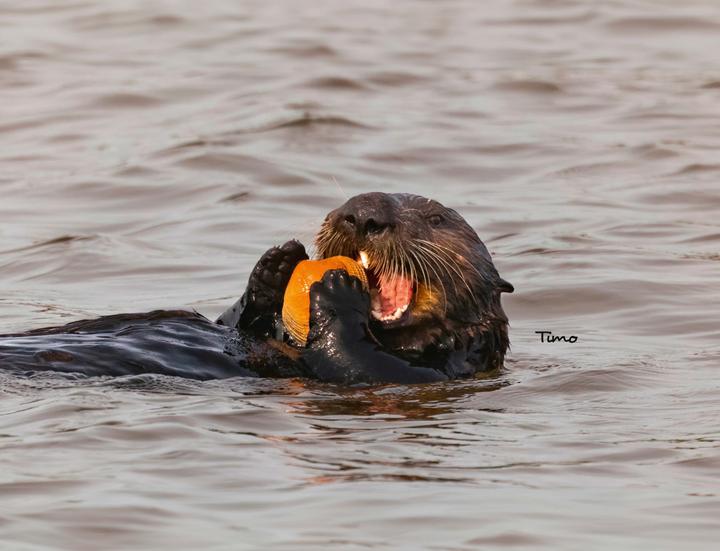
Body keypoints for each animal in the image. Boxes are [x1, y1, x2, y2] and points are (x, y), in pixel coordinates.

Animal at [0, 193, 513, 385]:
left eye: (436, 218)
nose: (363, 214)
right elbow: (235, 322)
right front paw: (276, 265)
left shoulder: (437, 369)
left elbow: (360, 365)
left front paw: (340, 288)